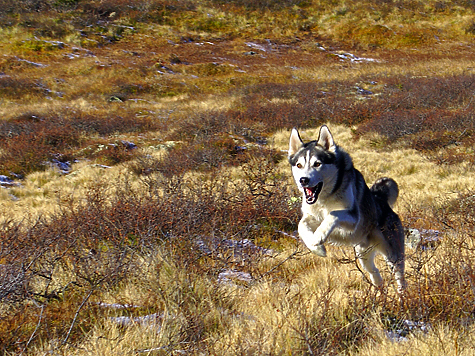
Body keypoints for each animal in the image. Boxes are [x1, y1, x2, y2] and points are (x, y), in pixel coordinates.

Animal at [288, 126, 408, 290]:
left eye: (317, 164)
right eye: (299, 165)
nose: (303, 180)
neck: (325, 198)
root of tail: (381, 199)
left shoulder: (352, 217)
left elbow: (333, 214)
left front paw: (319, 236)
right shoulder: (311, 215)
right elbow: (301, 226)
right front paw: (317, 248)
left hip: (393, 254)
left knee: (400, 278)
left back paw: (403, 296)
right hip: (363, 255)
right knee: (375, 272)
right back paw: (378, 292)